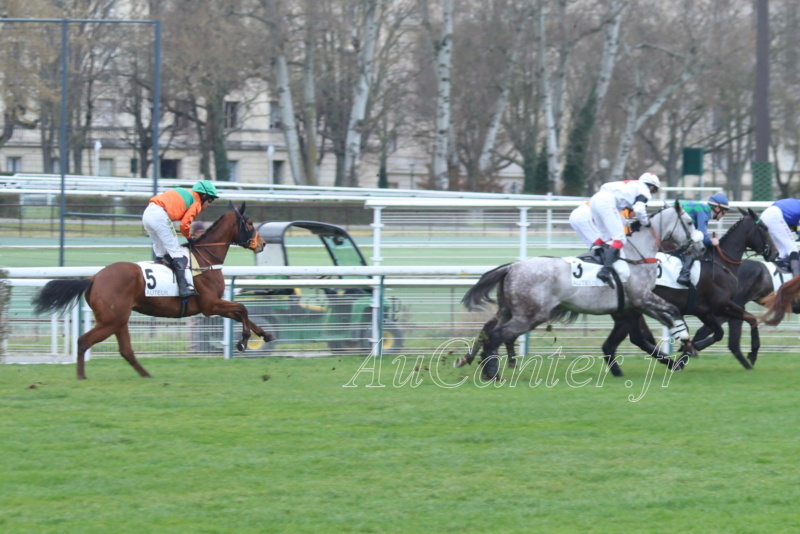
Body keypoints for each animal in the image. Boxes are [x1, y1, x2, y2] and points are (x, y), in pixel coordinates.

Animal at [32, 201, 276, 382]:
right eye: (250, 223)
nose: (263, 244)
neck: (205, 259)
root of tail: (94, 278)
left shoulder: (214, 304)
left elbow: (242, 313)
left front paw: (264, 334)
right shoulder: (210, 305)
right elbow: (242, 308)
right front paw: (244, 340)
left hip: (119, 319)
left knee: (126, 350)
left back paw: (146, 375)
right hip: (111, 320)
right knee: (84, 341)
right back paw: (82, 377)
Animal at [460, 201, 704, 382]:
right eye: (689, 222)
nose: (701, 247)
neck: (636, 255)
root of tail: (512, 267)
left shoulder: (636, 303)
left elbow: (667, 318)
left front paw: (685, 345)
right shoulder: (642, 297)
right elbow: (672, 311)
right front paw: (684, 342)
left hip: (508, 311)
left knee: (489, 331)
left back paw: (475, 362)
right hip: (530, 315)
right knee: (497, 335)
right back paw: (492, 373)